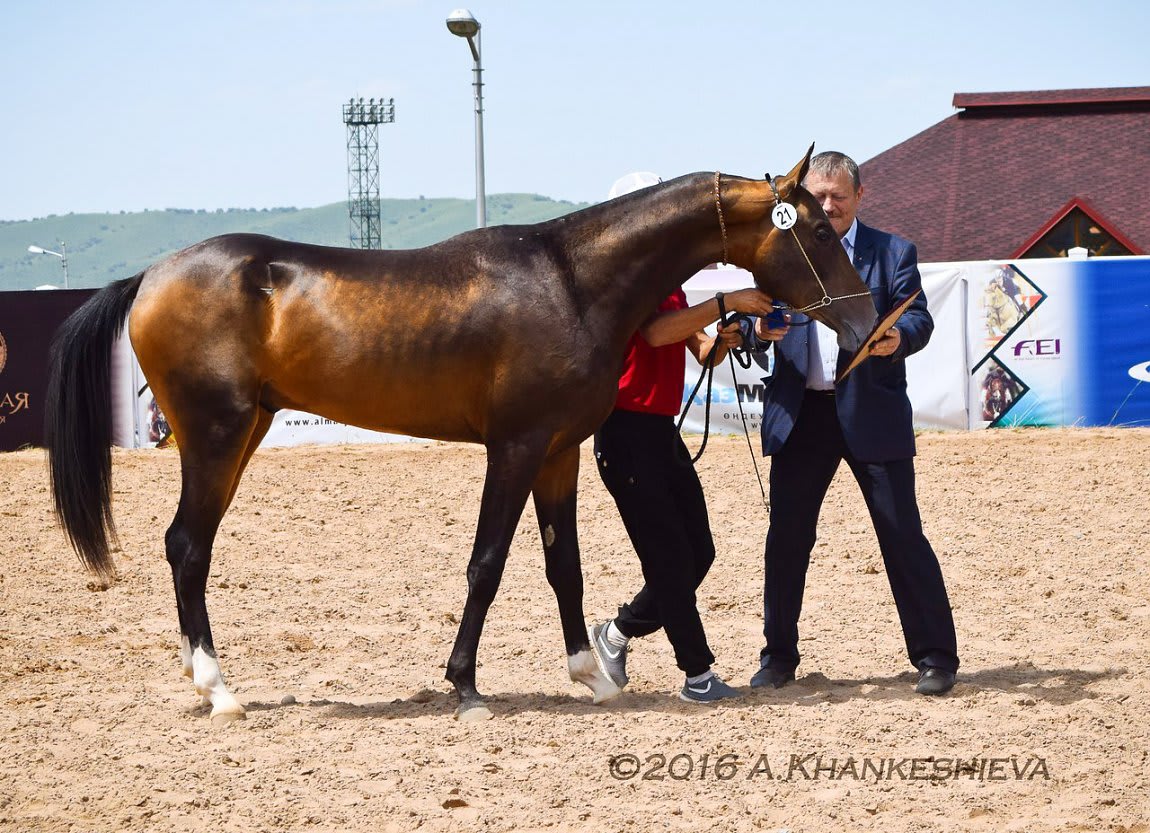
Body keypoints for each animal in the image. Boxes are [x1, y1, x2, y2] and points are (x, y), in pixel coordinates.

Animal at [45, 145, 878, 723]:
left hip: (244, 429)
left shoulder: (559, 451)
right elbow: (487, 564)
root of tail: (150, 276)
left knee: (186, 545)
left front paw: (592, 675)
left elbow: (563, 567)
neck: (571, 281)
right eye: (812, 227)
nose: (867, 319)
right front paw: (466, 685)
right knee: (188, 545)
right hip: (215, 436)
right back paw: (220, 690)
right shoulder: (514, 447)